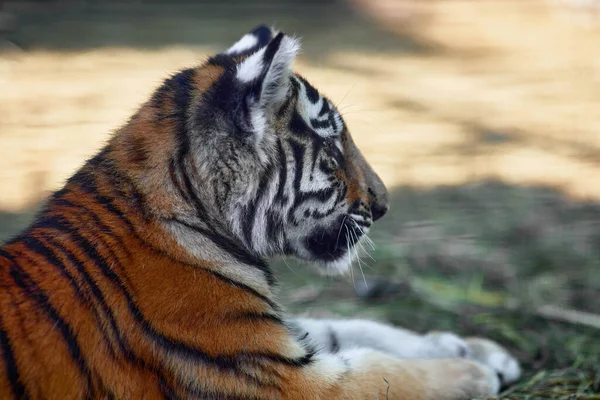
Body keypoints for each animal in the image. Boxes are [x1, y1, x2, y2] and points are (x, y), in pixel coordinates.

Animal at [0, 25, 520, 400]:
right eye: (333, 153)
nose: (384, 204)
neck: (195, 215)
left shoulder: (269, 339)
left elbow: (356, 328)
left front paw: (478, 349)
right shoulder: (278, 376)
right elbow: (387, 374)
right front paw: (472, 372)